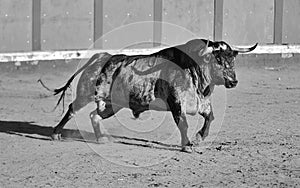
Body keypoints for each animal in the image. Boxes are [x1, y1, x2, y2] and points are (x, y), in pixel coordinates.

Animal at [42, 39, 256, 152]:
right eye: (217, 59)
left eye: (232, 59)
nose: (233, 81)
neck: (193, 70)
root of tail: (102, 57)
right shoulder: (176, 103)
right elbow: (183, 124)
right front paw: (187, 145)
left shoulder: (202, 103)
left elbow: (210, 118)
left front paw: (198, 138)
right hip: (85, 94)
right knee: (72, 109)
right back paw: (56, 133)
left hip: (112, 104)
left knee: (94, 115)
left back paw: (102, 138)